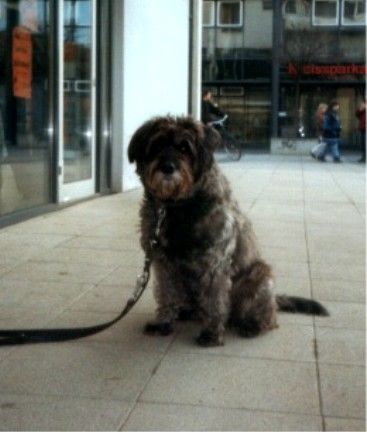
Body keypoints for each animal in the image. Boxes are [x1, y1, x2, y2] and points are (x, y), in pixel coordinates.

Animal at [128, 115, 330, 348]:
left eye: (185, 148)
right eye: (157, 145)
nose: (168, 167)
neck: (177, 205)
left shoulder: (214, 263)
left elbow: (215, 301)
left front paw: (212, 334)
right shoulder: (163, 264)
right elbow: (166, 294)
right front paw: (163, 323)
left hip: (258, 275)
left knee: (268, 317)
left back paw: (253, 324)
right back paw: (186, 312)